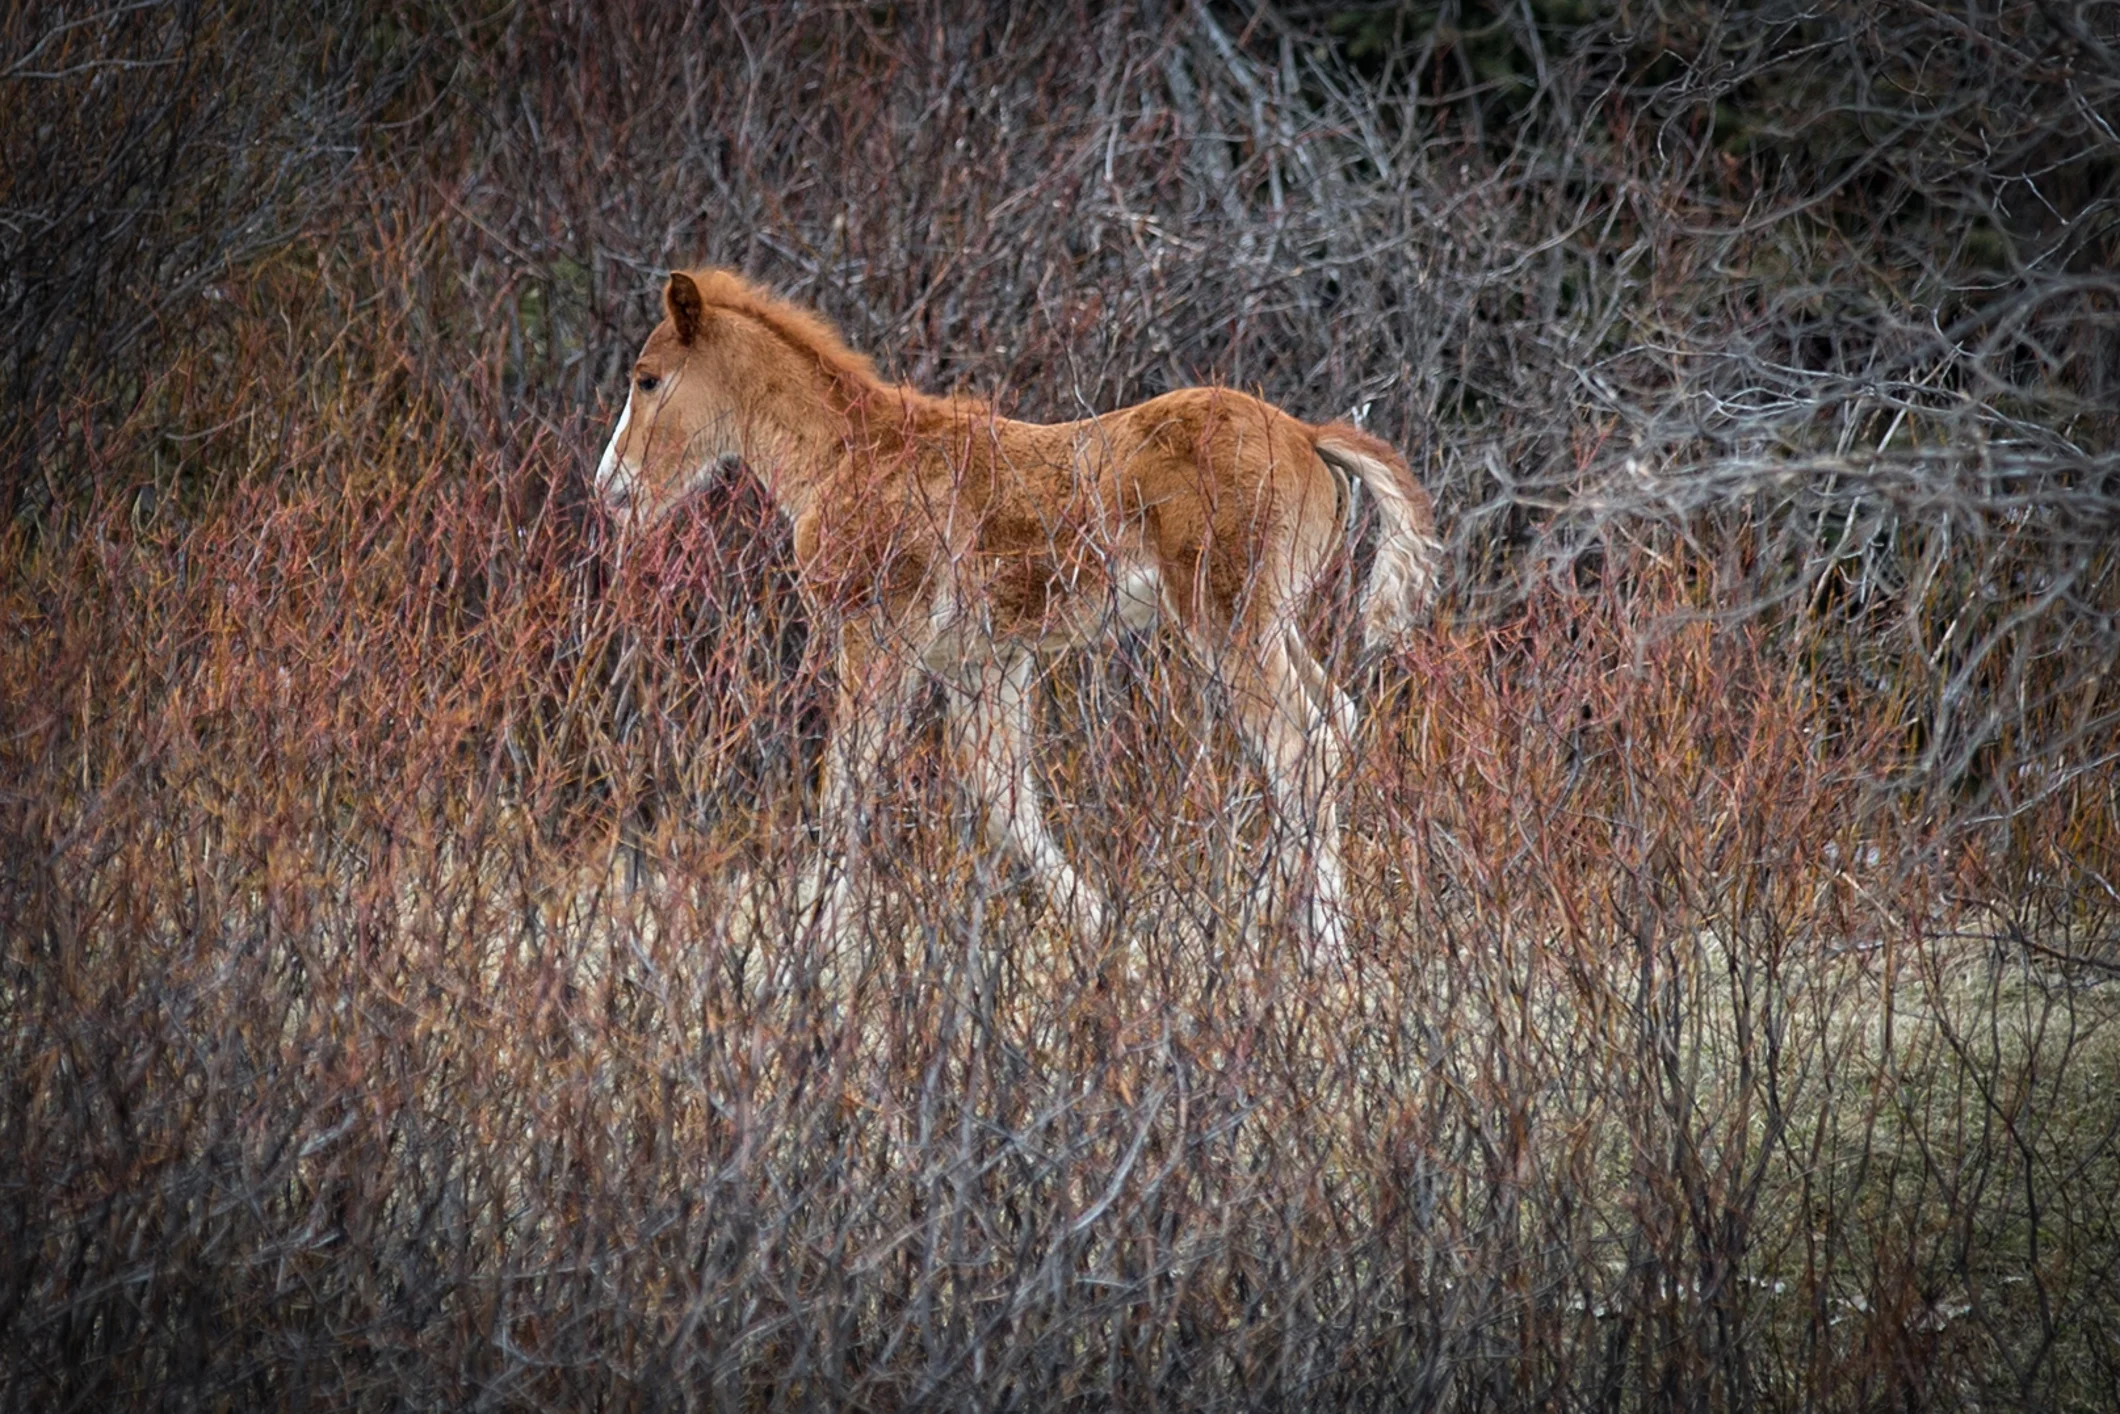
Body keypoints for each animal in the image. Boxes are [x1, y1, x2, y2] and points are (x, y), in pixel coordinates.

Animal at [595, 267, 1439, 957]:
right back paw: (1275, 924)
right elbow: (1002, 795)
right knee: (1338, 720)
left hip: (1226, 620)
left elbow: (848, 785)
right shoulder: (987, 661)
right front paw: (1107, 932)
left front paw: (817, 947)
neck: (846, 455)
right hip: (1273, 622)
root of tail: (1309, 436)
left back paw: (1321, 949)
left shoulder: (879, 633)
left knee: (1302, 743)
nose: (611, 488)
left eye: (647, 379)